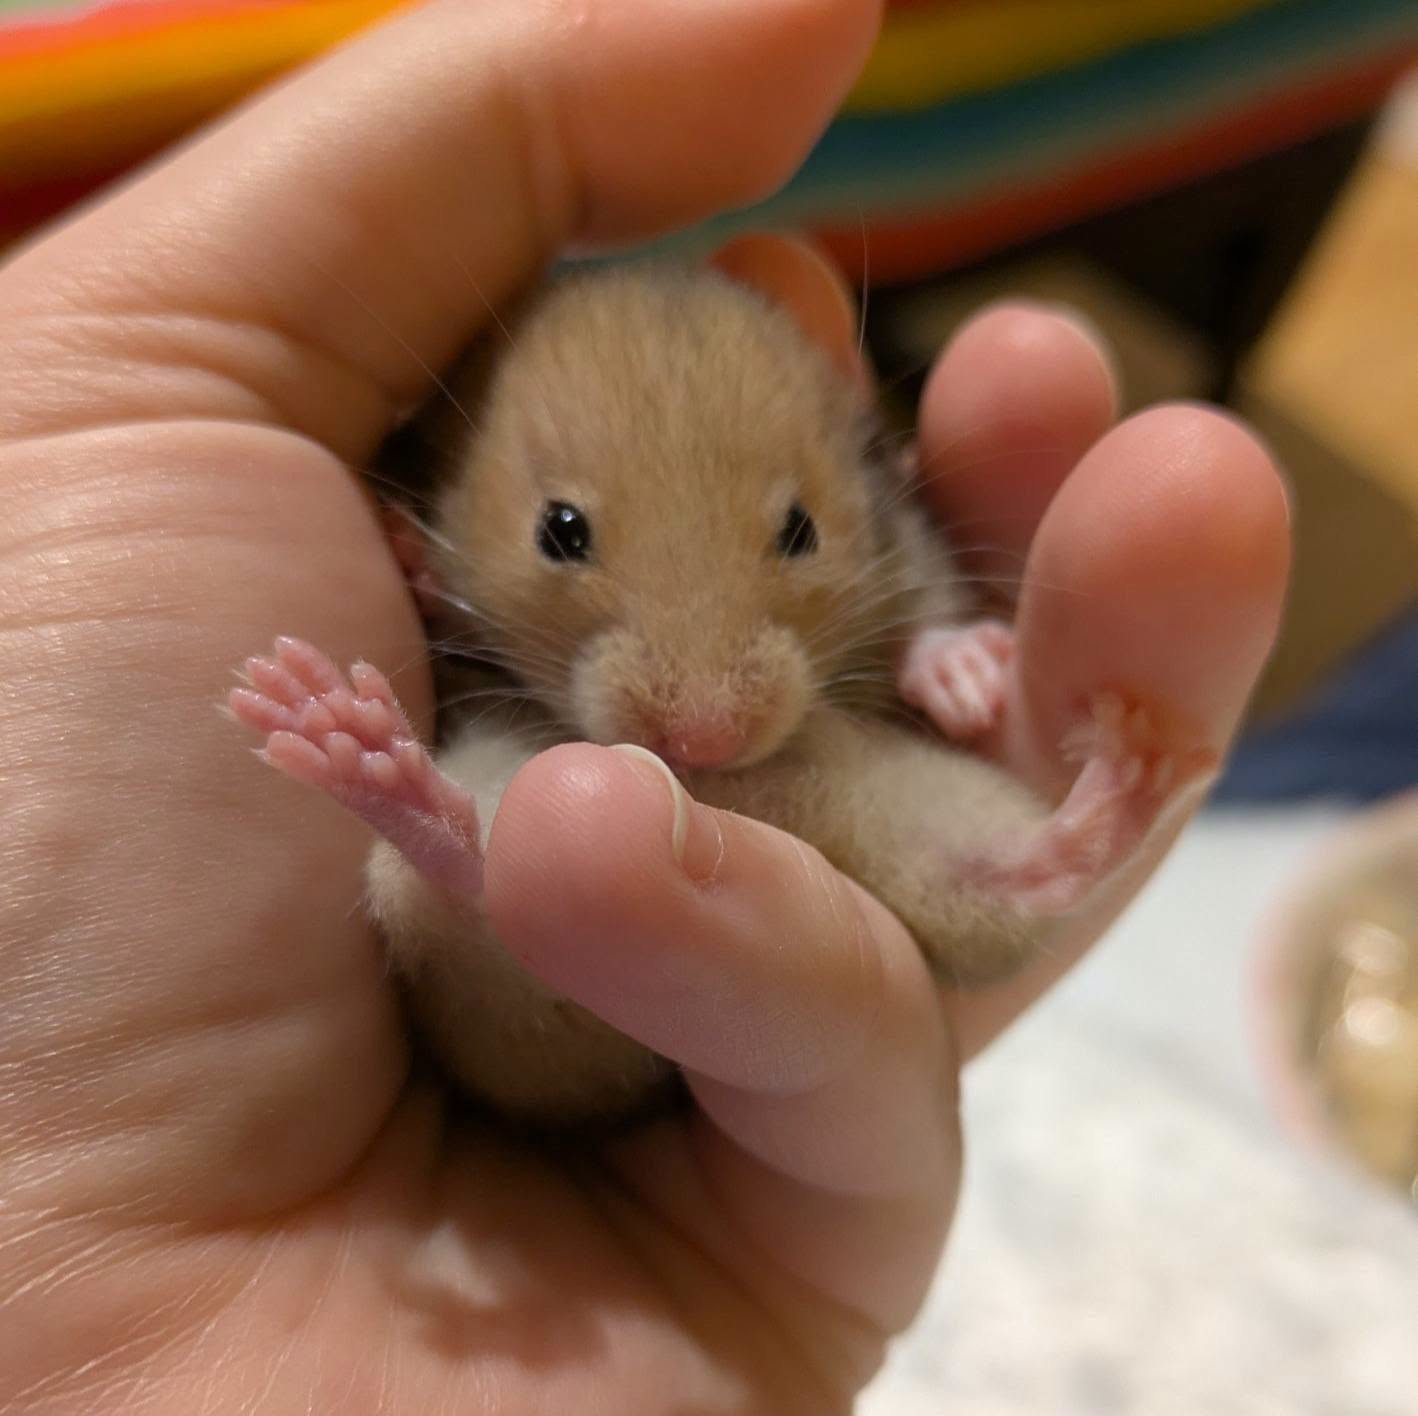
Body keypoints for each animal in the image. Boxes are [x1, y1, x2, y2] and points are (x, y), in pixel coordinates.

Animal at [230, 238, 1172, 1128]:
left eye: (800, 529)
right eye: (560, 530)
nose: (706, 743)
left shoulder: (909, 537)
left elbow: (930, 606)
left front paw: (970, 680)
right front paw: (407, 552)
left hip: (916, 822)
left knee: (1025, 873)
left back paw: (1129, 772)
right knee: (451, 893)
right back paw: (337, 733)